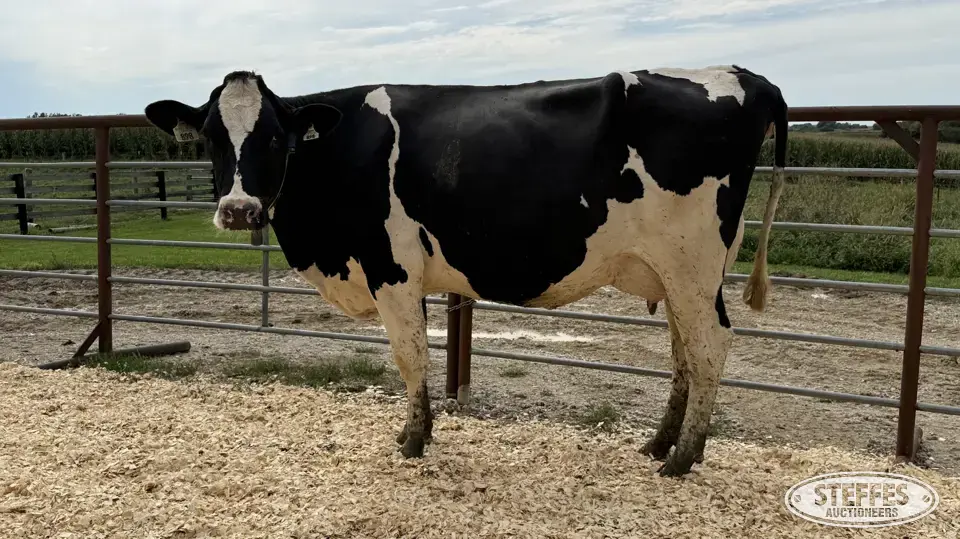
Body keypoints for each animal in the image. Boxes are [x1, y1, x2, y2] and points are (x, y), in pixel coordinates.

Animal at [143, 64, 787, 477]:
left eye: (276, 136)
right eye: (210, 136)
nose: (238, 209)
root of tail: (746, 77)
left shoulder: (392, 269)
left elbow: (410, 355)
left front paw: (412, 440)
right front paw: (418, 432)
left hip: (692, 264)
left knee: (710, 346)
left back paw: (683, 458)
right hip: (679, 273)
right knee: (684, 350)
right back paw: (658, 444)